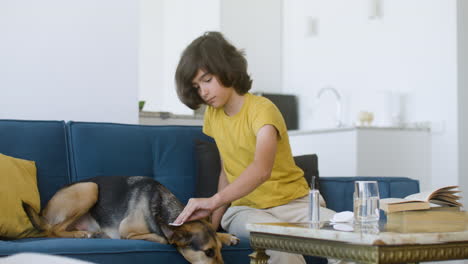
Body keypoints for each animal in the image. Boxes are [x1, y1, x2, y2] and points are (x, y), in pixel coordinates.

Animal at [23, 175, 239, 264]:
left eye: (219, 250)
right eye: (208, 252)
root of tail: (44, 211)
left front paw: (226, 236)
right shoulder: (128, 231)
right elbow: (162, 238)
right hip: (90, 188)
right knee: (52, 230)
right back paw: (82, 234)